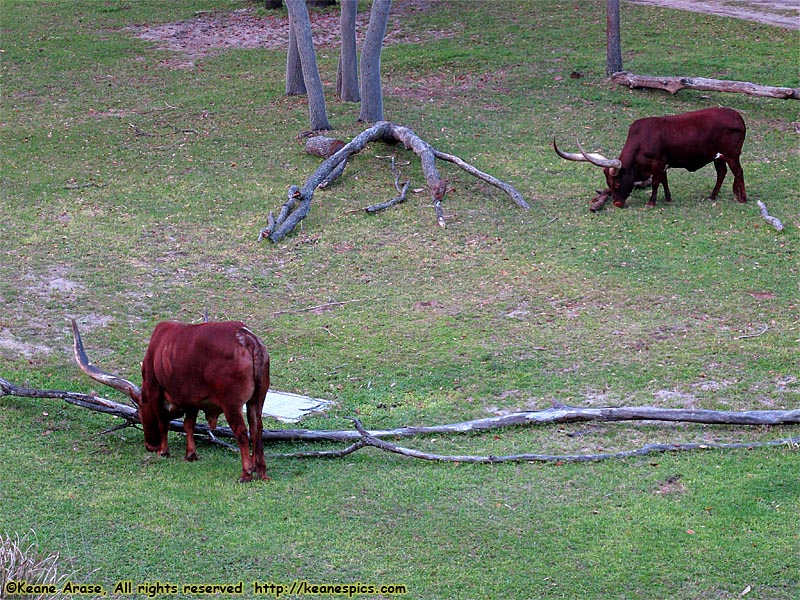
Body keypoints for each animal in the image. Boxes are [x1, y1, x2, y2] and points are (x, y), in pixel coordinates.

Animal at [72, 318, 272, 482]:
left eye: (141, 414)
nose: (149, 446)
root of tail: (246, 338)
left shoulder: (155, 391)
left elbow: (163, 423)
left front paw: (164, 451)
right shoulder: (192, 399)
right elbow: (188, 424)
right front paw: (190, 454)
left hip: (232, 404)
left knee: (241, 432)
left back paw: (246, 473)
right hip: (257, 400)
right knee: (257, 428)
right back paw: (261, 470)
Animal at [552, 108, 748, 209]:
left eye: (617, 184)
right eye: (609, 184)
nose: (617, 204)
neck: (641, 140)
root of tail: (738, 116)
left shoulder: (658, 162)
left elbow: (655, 182)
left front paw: (652, 202)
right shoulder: (663, 164)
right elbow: (664, 180)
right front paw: (668, 198)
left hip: (732, 154)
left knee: (738, 172)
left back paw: (743, 198)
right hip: (719, 157)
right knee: (722, 173)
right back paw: (712, 196)